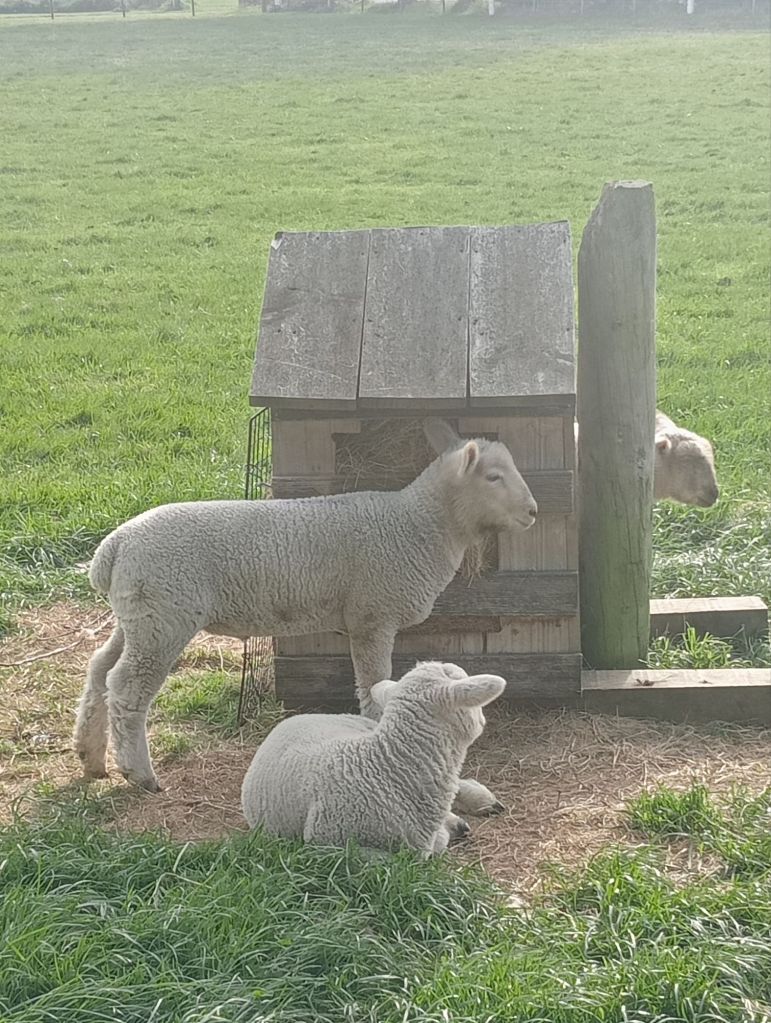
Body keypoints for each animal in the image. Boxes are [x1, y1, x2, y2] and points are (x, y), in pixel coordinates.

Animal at [75, 420, 536, 793]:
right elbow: (373, 682)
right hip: (163, 614)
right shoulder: (372, 615)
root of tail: (113, 548)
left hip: (138, 614)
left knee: (99, 669)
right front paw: (375, 726)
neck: (418, 525)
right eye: (494, 477)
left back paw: (90, 756)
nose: (532, 511)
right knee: (126, 687)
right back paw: (139, 774)